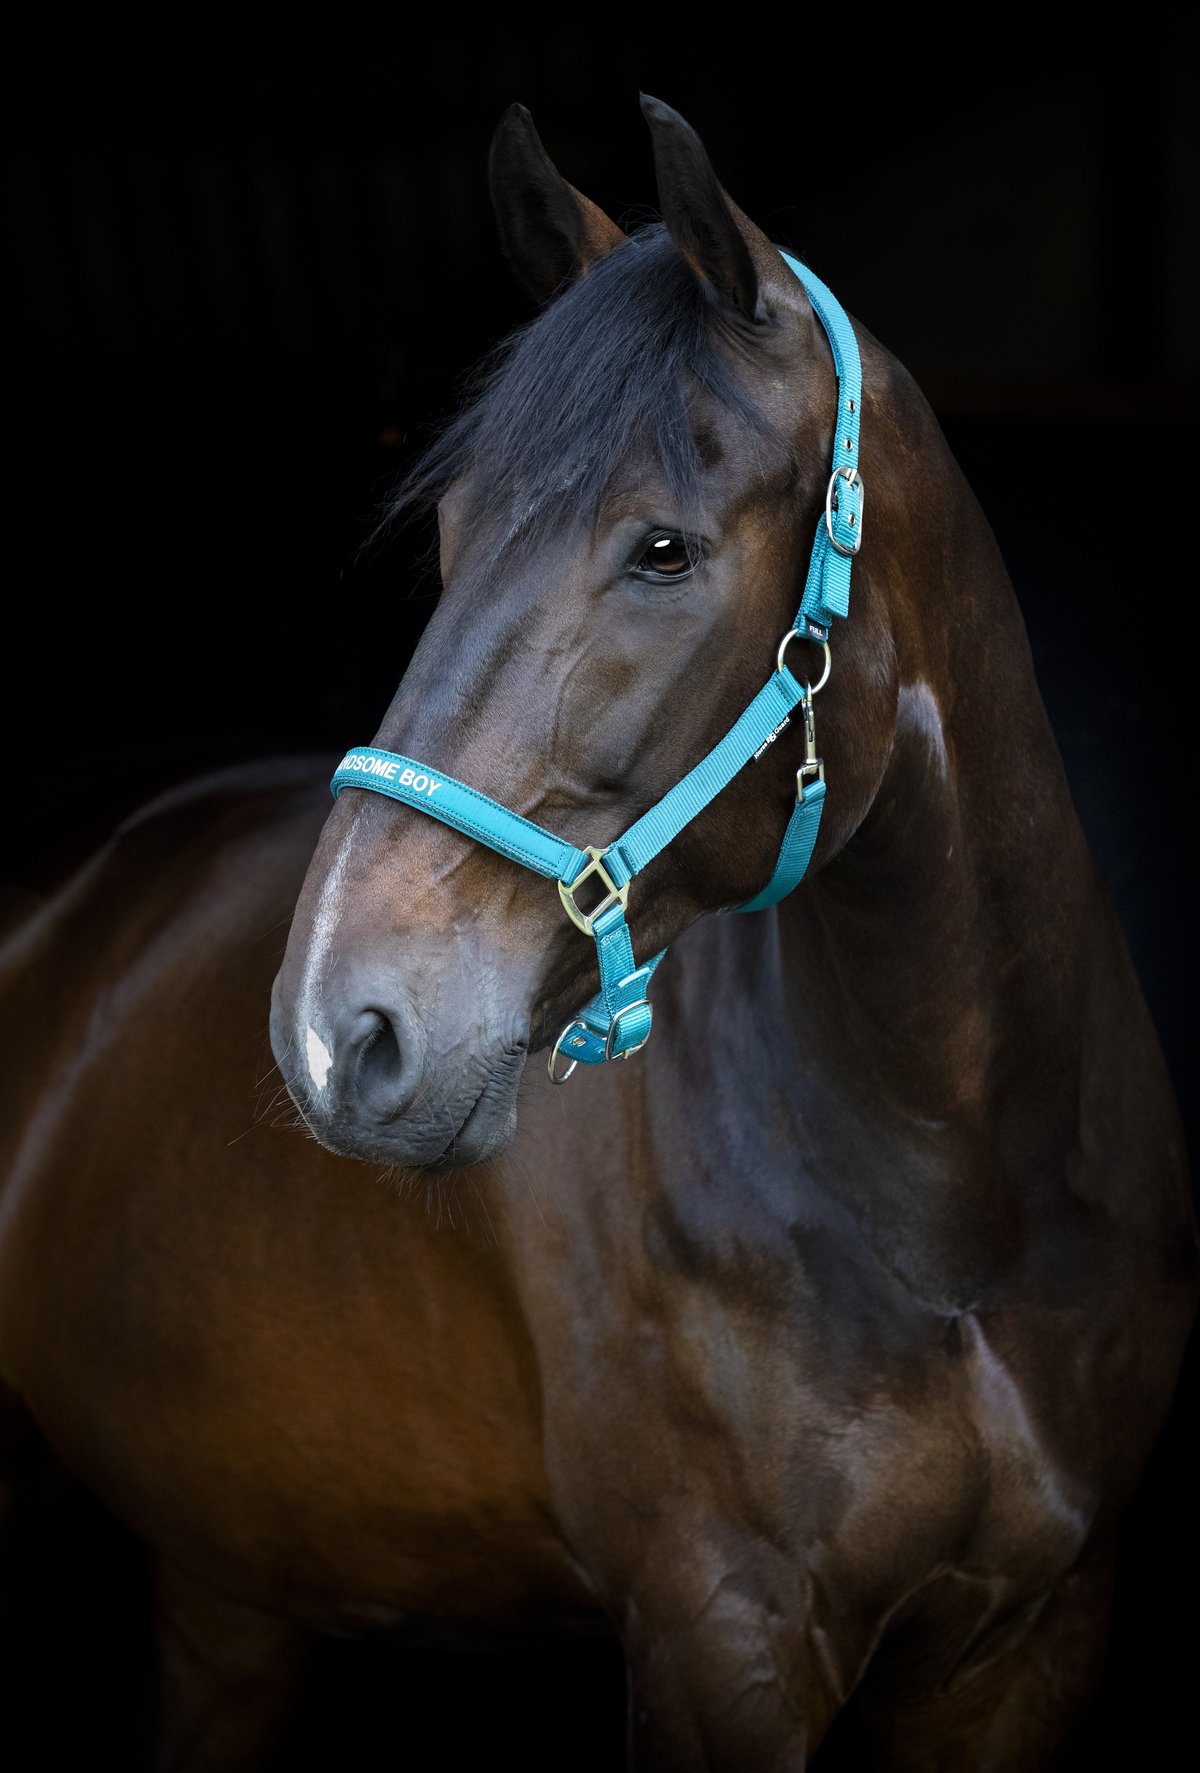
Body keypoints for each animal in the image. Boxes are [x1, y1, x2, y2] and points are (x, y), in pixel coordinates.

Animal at [0, 95, 1194, 1769]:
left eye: (665, 550)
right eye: (449, 534)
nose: (337, 1031)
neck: (959, 1205)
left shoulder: (1033, 1639)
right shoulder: (719, 1638)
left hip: (229, 1586)